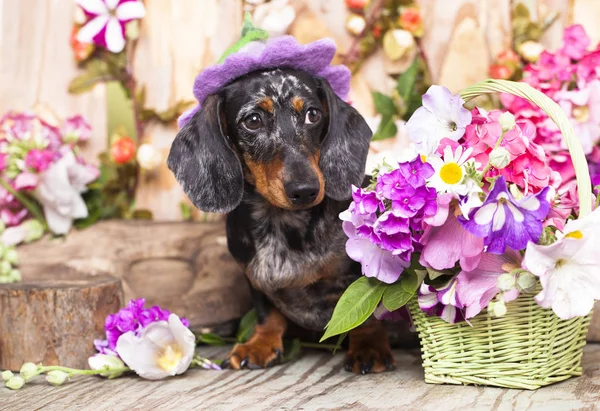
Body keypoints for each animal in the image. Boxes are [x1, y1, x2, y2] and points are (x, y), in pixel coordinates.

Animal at [166, 69, 396, 374]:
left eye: (313, 114)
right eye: (253, 120)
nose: (306, 190)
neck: (279, 224)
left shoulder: (360, 273)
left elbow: (365, 311)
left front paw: (369, 345)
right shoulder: (254, 279)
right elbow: (268, 313)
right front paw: (259, 343)